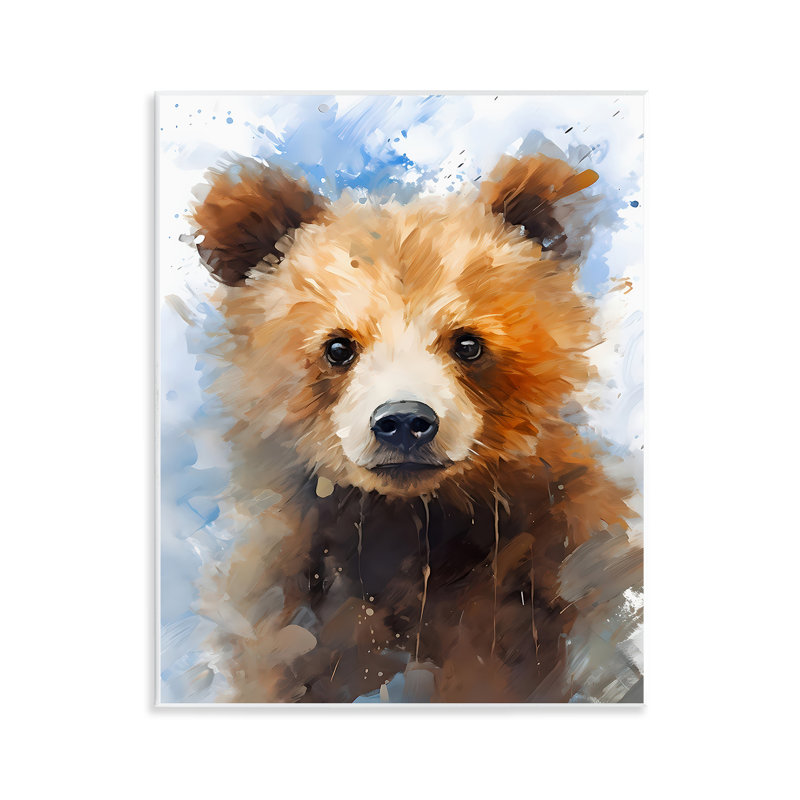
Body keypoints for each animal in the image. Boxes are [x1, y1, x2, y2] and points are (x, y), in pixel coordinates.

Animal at [185, 151, 643, 703]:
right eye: (338, 347)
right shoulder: (297, 596)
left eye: (468, 343)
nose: (404, 421)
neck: (414, 524)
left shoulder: (536, 581)